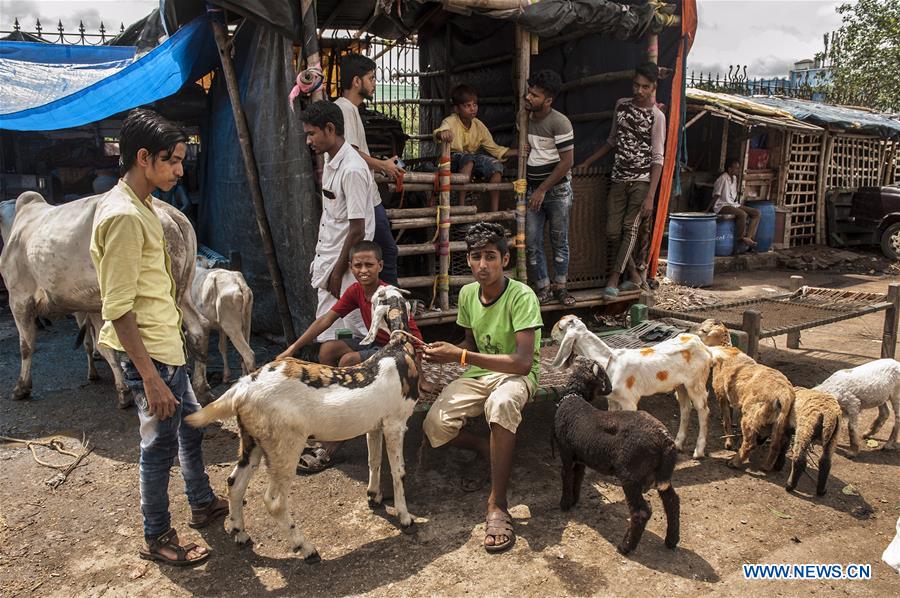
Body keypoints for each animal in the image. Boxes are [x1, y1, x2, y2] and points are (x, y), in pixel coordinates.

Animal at [0, 192, 206, 408]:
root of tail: (169, 211)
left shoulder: (19, 299)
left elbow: (26, 346)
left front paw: (21, 387)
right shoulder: (92, 307)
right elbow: (105, 348)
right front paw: (121, 389)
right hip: (182, 292)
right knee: (197, 329)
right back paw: (200, 388)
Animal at [185, 288, 422, 564]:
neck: (397, 351)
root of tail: (243, 387)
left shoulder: (374, 424)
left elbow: (374, 461)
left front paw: (374, 497)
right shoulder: (396, 422)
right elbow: (398, 470)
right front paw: (405, 517)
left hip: (252, 440)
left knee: (235, 483)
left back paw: (240, 533)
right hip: (284, 445)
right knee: (274, 501)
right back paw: (307, 548)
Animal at [548, 356, 684, 556]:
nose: (610, 388)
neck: (574, 396)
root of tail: (665, 439)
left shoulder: (565, 452)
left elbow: (566, 476)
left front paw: (564, 504)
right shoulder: (581, 458)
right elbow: (577, 478)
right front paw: (574, 500)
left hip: (630, 476)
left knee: (641, 512)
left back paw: (625, 547)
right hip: (661, 476)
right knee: (672, 502)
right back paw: (671, 541)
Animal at [552, 314, 712, 460]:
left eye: (560, 327)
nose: (552, 334)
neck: (610, 361)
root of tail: (703, 346)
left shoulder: (628, 401)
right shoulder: (613, 400)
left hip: (696, 383)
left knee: (703, 410)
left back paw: (698, 452)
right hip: (681, 385)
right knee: (685, 407)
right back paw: (678, 444)